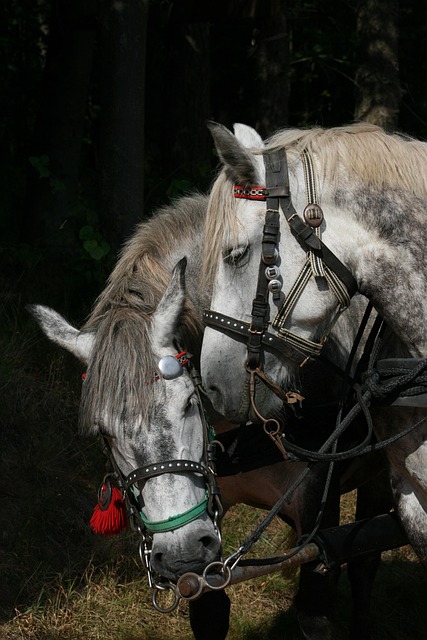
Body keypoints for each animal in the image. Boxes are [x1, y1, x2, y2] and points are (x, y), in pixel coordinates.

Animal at [29, 190, 393, 640]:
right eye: (103, 432)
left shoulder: (317, 514)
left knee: (365, 560)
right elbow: (209, 610)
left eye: (188, 401)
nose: (181, 551)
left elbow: (317, 605)